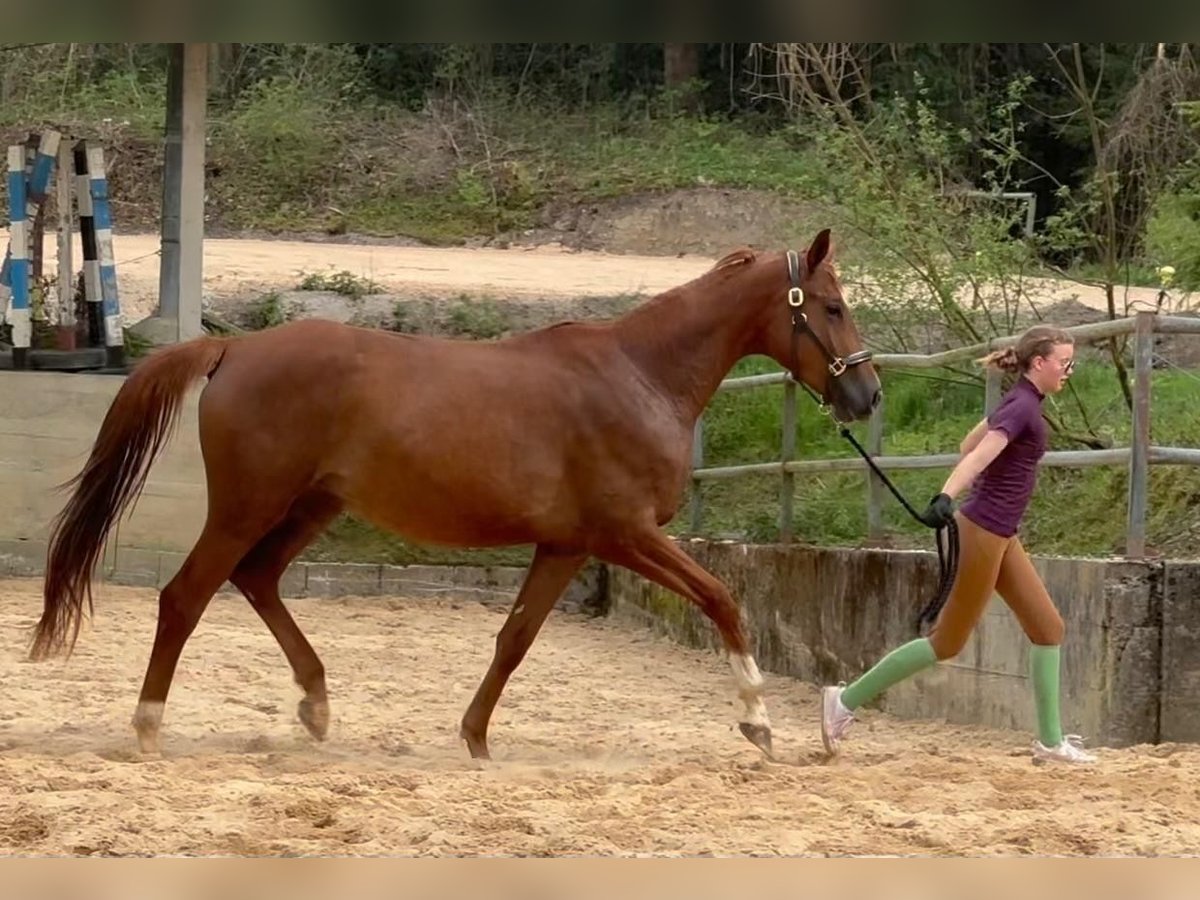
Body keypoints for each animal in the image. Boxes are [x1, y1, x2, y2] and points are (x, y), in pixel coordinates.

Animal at [30, 230, 883, 763]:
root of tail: (232, 346)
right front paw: (758, 723)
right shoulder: (626, 535)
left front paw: (474, 738)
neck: (640, 375)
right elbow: (723, 601)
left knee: (257, 580)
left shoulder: (566, 546)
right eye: (833, 307)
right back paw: (150, 728)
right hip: (248, 507)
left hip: (310, 507)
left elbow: (514, 639)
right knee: (186, 596)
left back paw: (316, 705)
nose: (869, 395)